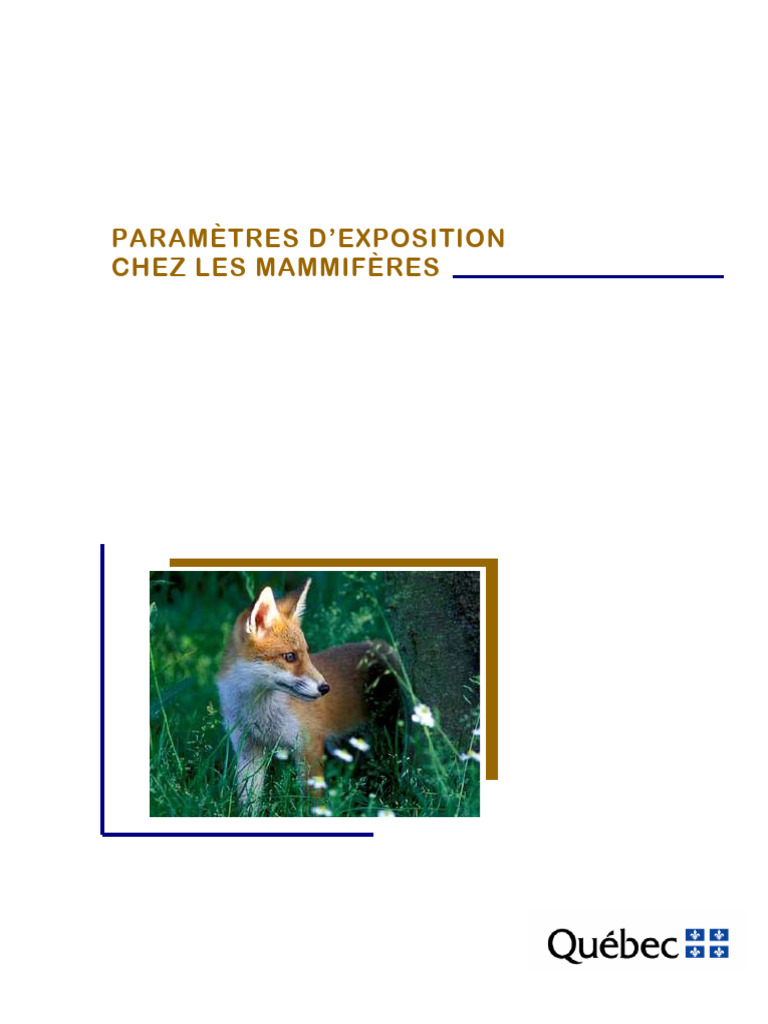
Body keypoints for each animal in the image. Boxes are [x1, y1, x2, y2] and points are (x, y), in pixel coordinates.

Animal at [217, 578, 398, 813]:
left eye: (306, 653)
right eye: (290, 656)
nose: (325, 688)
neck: (259, 711)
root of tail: (380, 644)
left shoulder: (309, 744)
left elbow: (313, 800)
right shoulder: (248, 748)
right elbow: (249, 800)